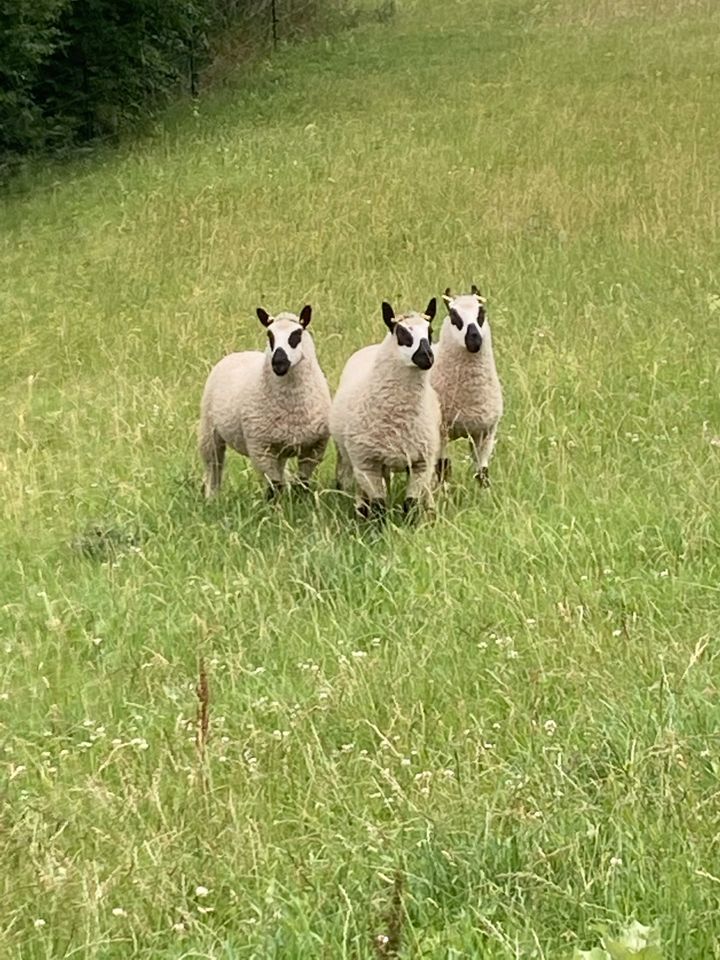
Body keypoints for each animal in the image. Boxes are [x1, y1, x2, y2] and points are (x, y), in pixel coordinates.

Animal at [197, 306, 332, 502]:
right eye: (270, 335)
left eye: (297, 334)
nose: (278, 363)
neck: (292, 407)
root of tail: (240, 353)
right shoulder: (260, 448)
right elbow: (274, 488)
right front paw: (277, 508)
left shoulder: (314, 447)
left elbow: (302, 484)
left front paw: (301, 504)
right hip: (209, 431)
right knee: (213, 469)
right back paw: (212, 500)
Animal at [330, 298, 442, 516]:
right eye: (402, 333)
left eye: (430, 331)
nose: (427, 357)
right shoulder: (367, 464)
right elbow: (379, 506)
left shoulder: (421, 464)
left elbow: (411, 505)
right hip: (356, 459)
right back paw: (360, 510)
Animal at [430, 282, 504, 484]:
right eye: (453, 315)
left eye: (481, 312)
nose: (474, 339)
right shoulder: (441, 434)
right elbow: (444, 469)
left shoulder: (484, 434)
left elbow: (482, 473)